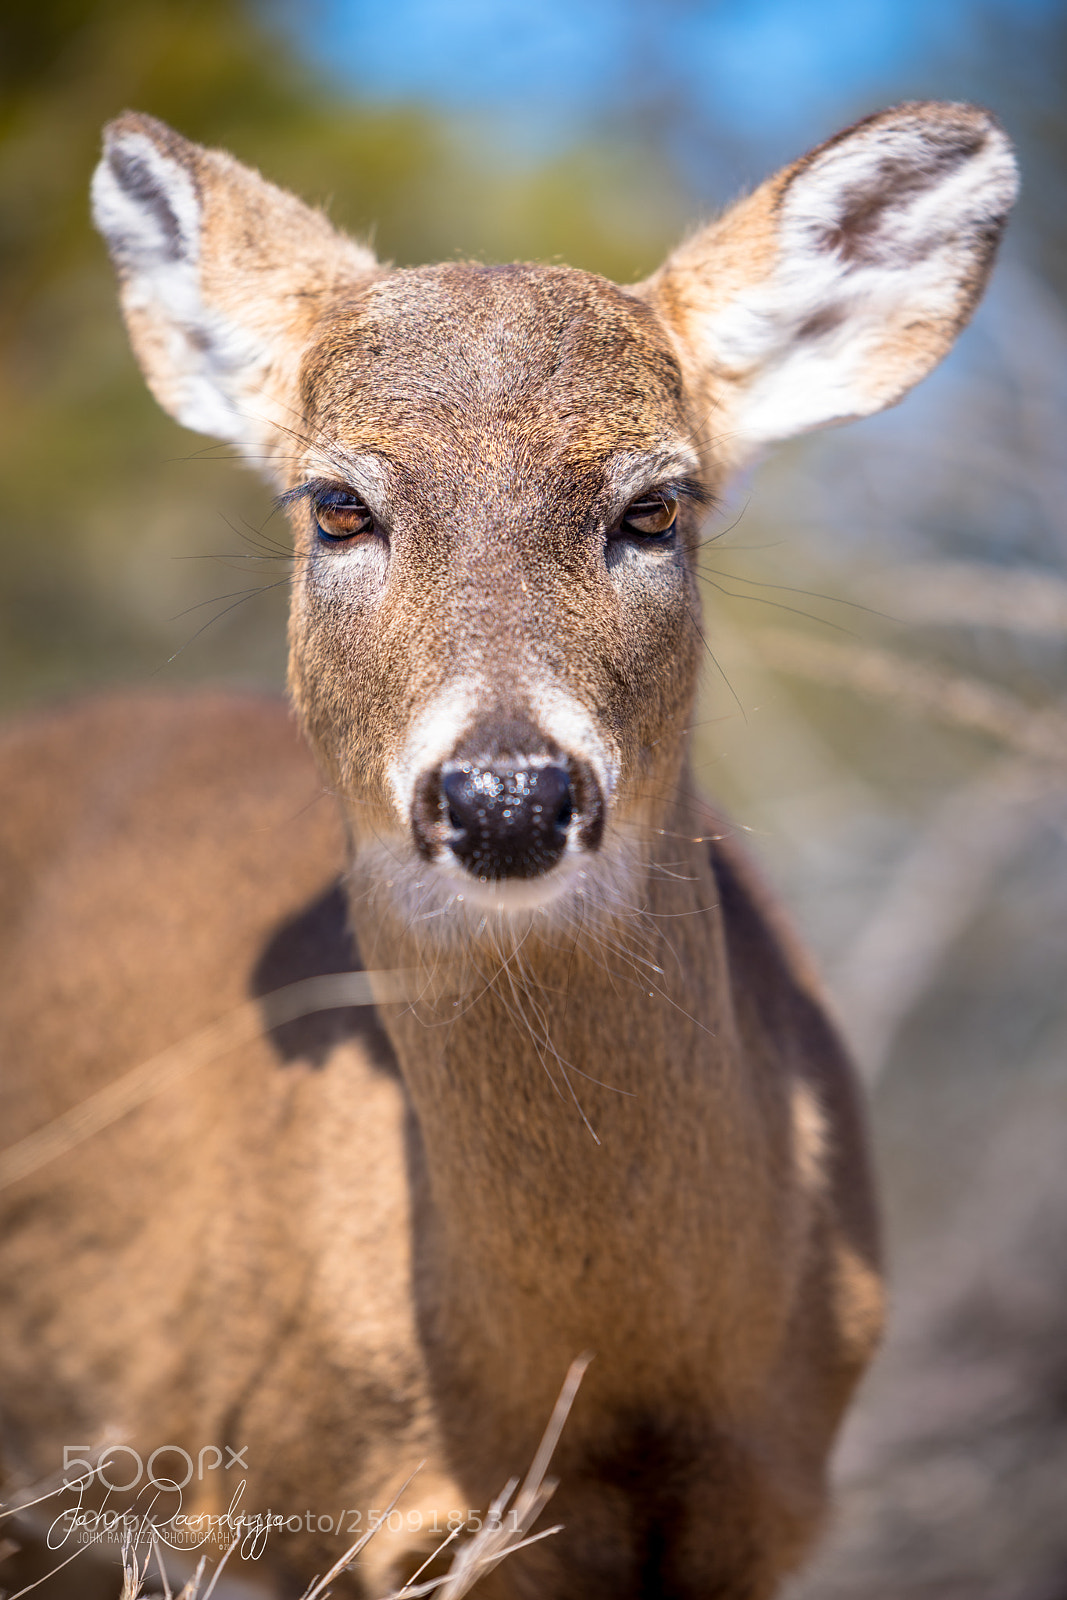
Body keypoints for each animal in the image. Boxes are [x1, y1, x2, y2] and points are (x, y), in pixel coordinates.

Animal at [0, 102, 1016, 1600]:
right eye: (335, 504)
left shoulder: (762, 1510)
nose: (503, 796)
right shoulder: (298, 1513)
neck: (614, 1368)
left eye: (655, 505)